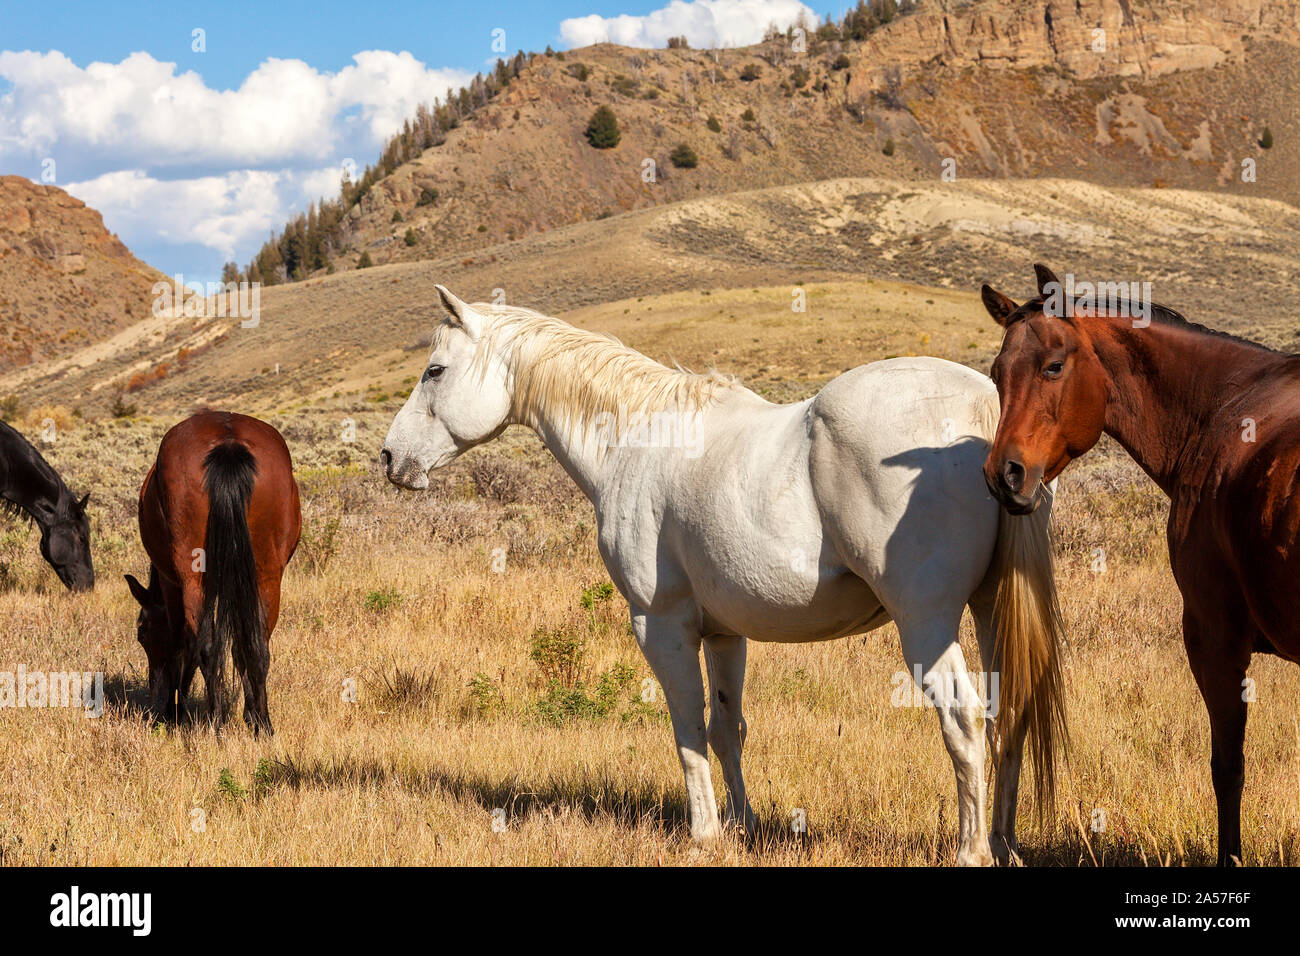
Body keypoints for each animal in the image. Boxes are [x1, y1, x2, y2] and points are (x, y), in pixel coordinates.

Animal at [125, 410, 301, 734]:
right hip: (268, 577)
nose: (154, 688)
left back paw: (214, 723)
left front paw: (174, 712)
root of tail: (227, 442)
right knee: (257, 647)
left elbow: (181, 644)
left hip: (193, 579)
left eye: (143, 632)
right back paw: (262, 724)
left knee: (206, 648)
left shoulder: (171, 584)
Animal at [380, 285, 1068, 866]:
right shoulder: (724, 634)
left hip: (927, 623)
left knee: (964, 718)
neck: (637, 439)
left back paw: (972, 852)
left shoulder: (660, 625)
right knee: (1009, 713)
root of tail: (985, 410)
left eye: (435, 370)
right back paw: (1004, 845)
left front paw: (704, 833)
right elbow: (726, 727)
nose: (390, 458)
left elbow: (687, 726)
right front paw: (744, 825)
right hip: (989, 610)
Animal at [980, 263, 1300, 866]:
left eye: (1054, 365)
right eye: (996, 374)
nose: (1004, 475)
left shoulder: (1213, 638)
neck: (1224, 405)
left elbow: (1228, 769)